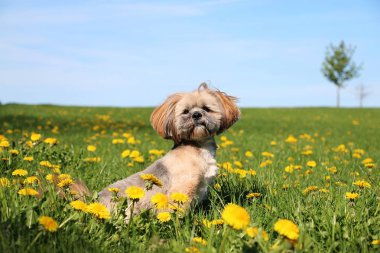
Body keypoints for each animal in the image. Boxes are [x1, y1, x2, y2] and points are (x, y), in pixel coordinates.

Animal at [98, 82, 240, 215]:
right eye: (185, 111)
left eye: (206, 108)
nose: (196, 114)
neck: (197, 147)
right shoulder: (183, 189)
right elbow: (177, 211)